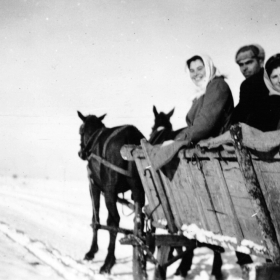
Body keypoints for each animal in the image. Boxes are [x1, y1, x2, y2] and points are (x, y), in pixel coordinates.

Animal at [77, 111, 145, 274]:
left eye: (80, 131)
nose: (81, 153)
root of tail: (130, 137)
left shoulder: (95, 186)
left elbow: (96, 219)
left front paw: (92, 251)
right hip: (138, 191)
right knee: (139, 221)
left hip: (109, 191)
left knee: (114, 222)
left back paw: (108, 262)